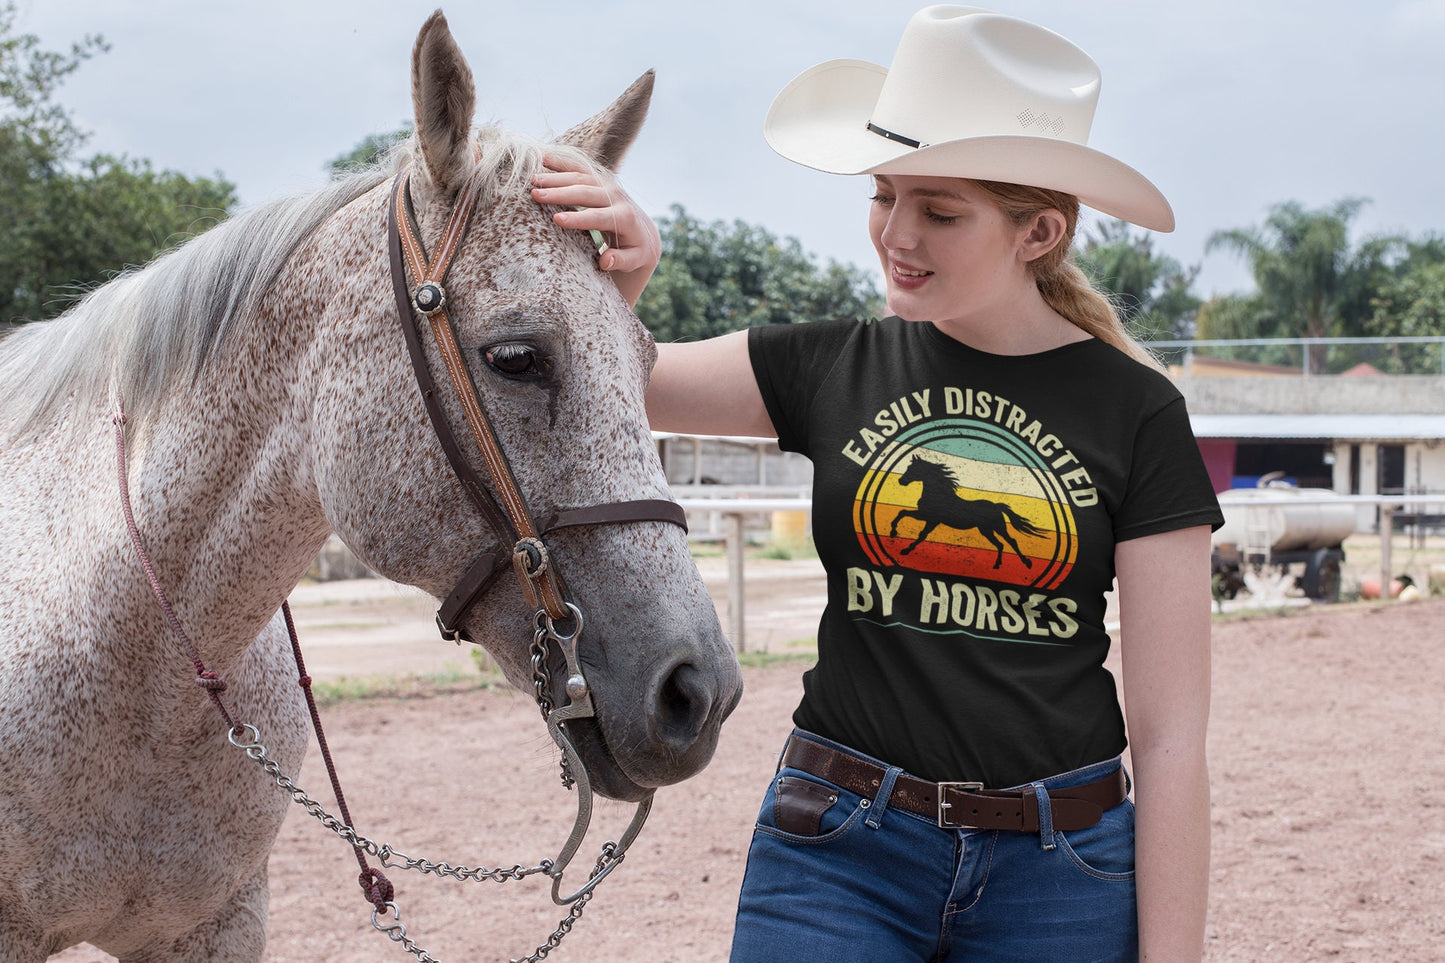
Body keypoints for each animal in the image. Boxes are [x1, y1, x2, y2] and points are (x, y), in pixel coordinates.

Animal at [889, 455, 1048, 568]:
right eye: (908, 467)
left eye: (913, 469)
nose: (901, 481)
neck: (938, 494)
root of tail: (996, 506)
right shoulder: (927, 517)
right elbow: (903, 513)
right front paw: (894, 534)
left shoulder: (931, 518)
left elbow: (919, 532)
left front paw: (904, 548)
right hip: (987, 530)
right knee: (1000, 544)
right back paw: (997, 565)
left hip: (997, 527)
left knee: (1011, 541)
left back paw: (1027, 563)